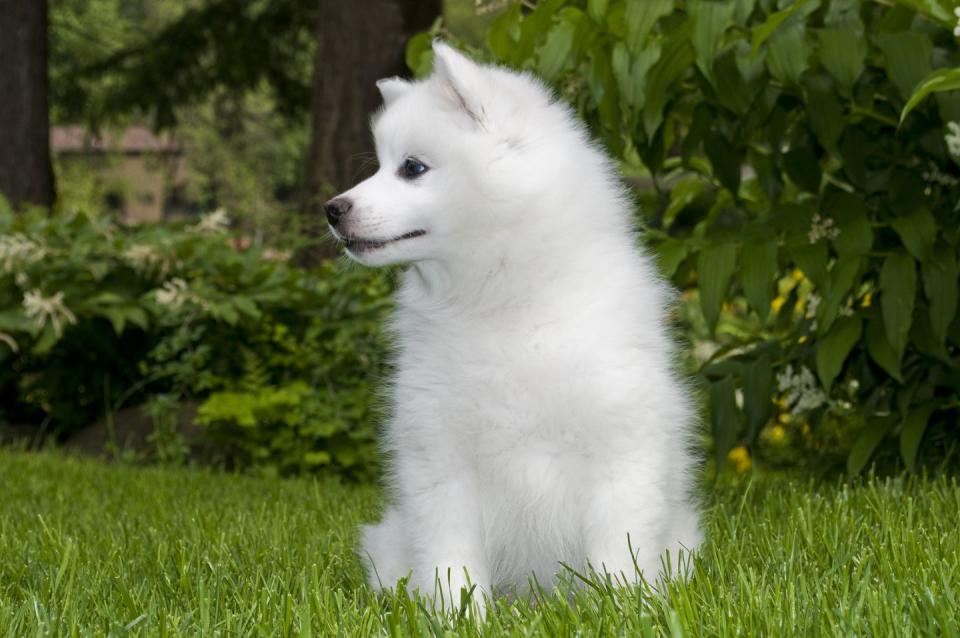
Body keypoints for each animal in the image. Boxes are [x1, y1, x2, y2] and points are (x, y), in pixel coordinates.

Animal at [326, 41, 700, 608]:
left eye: (412, 167)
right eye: (381, 166)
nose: (332, 209)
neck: (502, 304)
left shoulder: (622, 446)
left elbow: (618, 548)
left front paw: (622, 607)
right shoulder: (440, 453)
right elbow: (451, 556)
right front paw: (459, 613)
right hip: (389, 542)